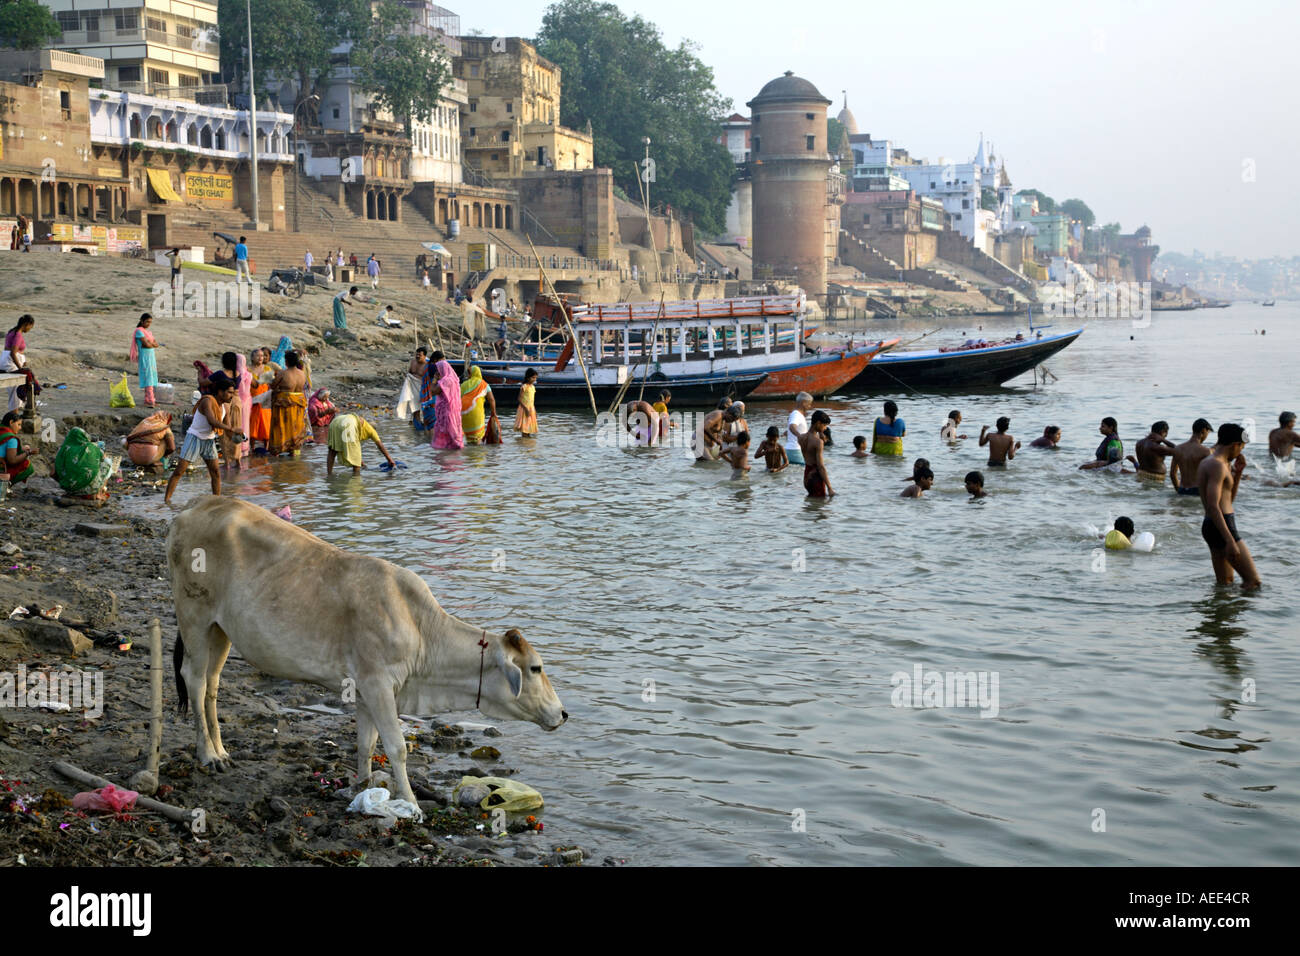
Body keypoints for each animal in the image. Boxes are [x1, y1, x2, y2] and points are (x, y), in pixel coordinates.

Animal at [166, 496, 564, 806]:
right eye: (535, 668)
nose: (562, 714)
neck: (421, 630)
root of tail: (193, 507)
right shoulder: (377, 683)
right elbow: (397, 746)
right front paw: (411, 803)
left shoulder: (363, 690)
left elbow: (366, 744)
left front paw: (362, 786)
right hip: (194, 615)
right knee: (194, 680)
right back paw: (207, 755)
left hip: (221, 630)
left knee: (212, 684)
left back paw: (221, 750)